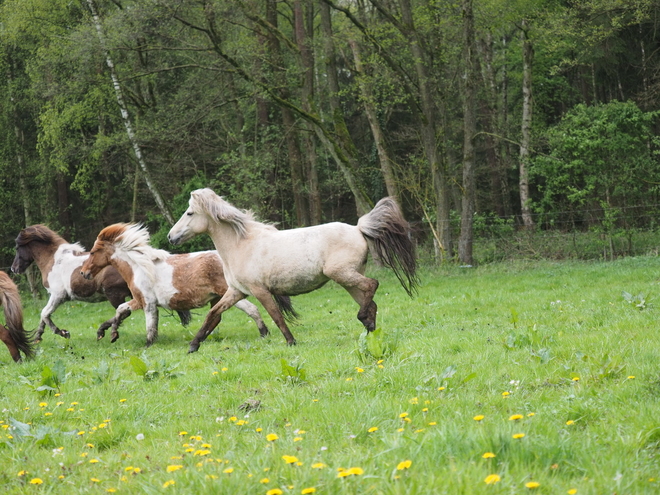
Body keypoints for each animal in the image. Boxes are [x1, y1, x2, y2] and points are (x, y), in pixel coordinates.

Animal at [10, 224, 189, 340]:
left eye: (18, 247)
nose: (14, 268)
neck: (54, 261)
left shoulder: (58, 295)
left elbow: (44, 313)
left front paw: (62, 333)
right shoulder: (56, 297)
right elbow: (44, 315)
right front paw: (38, 335)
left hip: (114, 294)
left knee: (123, 312)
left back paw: (103, 331)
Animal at [79, 223, 282, 346]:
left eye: (93, 252)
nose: (83, 272)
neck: (139, 267)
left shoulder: (147, 303)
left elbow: (150, 326)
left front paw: (147, 344)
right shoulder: (138, 300)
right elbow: (121, 310)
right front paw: (108, 332)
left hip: (231, 293)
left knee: (251, 309)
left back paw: (264, 333)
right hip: (218, 298)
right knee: (216, 317)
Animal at [168, 188, 420, 354]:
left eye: (189, 213)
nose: (171, 237)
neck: (241, 244)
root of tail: (358, 228)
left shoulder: (260, 291)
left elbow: (276, 316)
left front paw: (291, 342)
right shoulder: (236, 291)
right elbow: (213, 314)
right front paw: (193, 345)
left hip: (341, 274)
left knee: (372, 285)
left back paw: (363, 320)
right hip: (347, 279)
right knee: (371, 300)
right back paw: (370, 332)